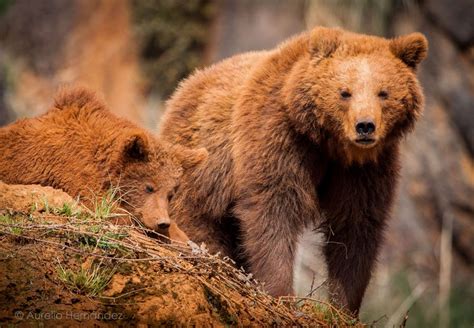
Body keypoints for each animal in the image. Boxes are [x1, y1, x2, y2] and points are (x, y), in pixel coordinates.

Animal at [160, 26, 430, 314]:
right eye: (344, 92)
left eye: (383, 92)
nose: (365, 126)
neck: (328, 143)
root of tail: (188, 83)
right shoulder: (280, 139)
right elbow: (273, 210)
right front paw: (281, 293)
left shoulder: (365, 169)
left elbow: (356, 226)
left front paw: (343, 305)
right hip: (203, 171)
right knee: (197, 222)